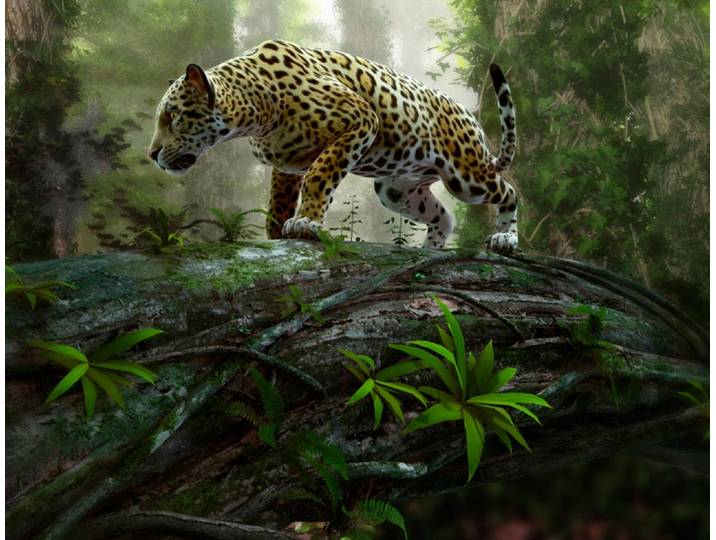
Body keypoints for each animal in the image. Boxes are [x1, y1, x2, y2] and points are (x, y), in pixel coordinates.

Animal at [148, 40, 518, 252]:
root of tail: (467, 114)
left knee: (509, 192)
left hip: (466, 177)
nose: (152, 155)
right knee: (445, 217)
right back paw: (428, 249)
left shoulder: (360, 120)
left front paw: (306, 223)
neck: (256, 108)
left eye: (172, 116)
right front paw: (277, 235)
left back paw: (505, 238)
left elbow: (319, 176)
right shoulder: (287, 163)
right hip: (395, 190)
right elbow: (278, 202)